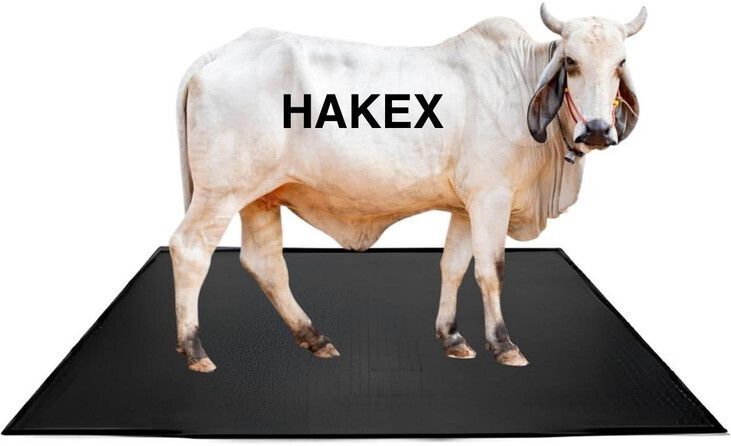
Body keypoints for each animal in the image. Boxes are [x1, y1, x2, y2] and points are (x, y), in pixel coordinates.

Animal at [170, 4, 646, 372]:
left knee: (265, 262)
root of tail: (218, 54)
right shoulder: (491, 197)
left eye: (620, 62)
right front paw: (503, 344)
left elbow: (453, 266)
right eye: (571, 61)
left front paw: (452, 337)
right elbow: (490, 270)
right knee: (190, 250)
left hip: (260, 196)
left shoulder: (464, 207)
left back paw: (314, 337)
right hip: (219, 193)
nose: (598, 129)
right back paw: (194, 350)